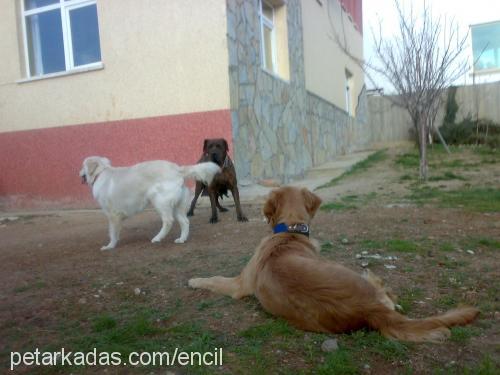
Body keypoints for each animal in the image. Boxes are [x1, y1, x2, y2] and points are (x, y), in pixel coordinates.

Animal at [80, 157, 221, 251]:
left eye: (82, 166)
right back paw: (182, 239)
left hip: (159, 201)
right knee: (185, 222)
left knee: (168, 221)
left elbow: (112, 233)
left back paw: (157, 238)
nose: (78, 173)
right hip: (176, 206)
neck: (100, 173)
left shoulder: (113, 215)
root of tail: (177, 169)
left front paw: (110, 246)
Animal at [189, 187, 478, 342]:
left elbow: (214, 278)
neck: (290, 231)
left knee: (384, 289)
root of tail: (369, 308)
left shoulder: (239, 284)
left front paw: (193, 280)